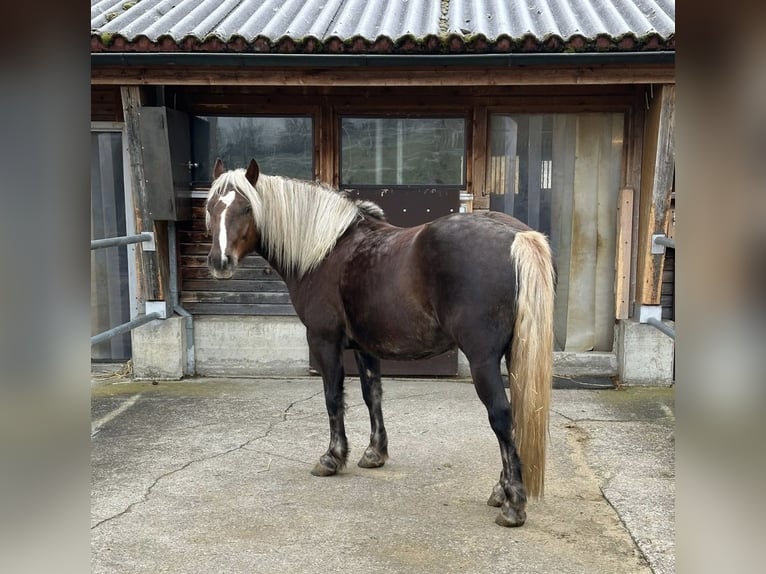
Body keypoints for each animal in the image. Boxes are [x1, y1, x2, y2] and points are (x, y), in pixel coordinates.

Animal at [205, 158, 555, 527]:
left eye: (246, 207)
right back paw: (500, 490)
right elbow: (371, 395)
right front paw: (374, 453)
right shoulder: (365, 349)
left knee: (500, 416)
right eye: (211, 207)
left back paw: (514, 504)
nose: (219, 262)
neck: (327, 250)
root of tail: (516, 236)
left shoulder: (324, 340)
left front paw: (332, 457)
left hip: (482, 360)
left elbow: (333, 398)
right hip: (512, 355)